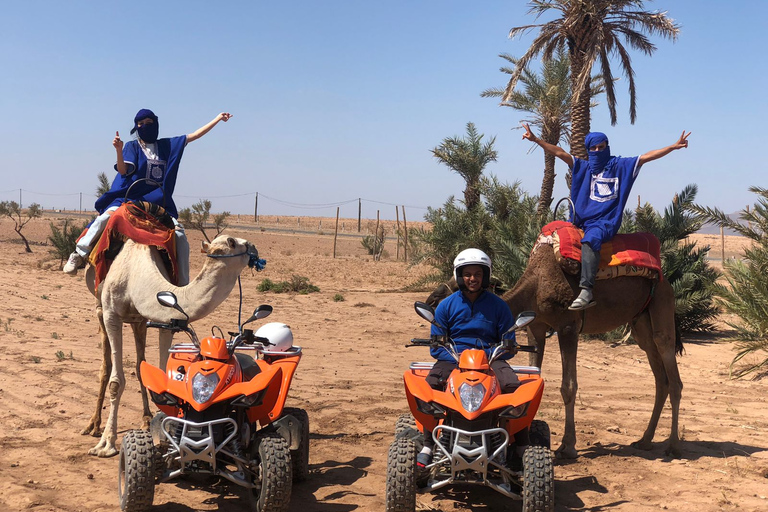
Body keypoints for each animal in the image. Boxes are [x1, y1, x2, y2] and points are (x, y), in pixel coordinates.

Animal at [83, 235, 258, 456]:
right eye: (232, 242)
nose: (253, 247)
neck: (135, 276)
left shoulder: (165, 320)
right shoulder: (111, 314)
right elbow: (116, 382)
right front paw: (106, 444)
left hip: (138, 321)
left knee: (140, 364)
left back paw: (146, 418)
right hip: (101, 311)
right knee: (105, 367)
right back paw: (93, 425)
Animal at [426, 246, 684, 458]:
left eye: (447, 295)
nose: (428, 300)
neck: (536, 284)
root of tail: (665, 279)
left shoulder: (568, 326)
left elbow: (568, 386)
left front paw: (567, 446)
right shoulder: (535, 327)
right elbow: (532, 378)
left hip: (662, 303)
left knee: (671, 369)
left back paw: (673, 446)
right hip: (640, 322)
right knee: (660, 376)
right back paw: (645, 440)